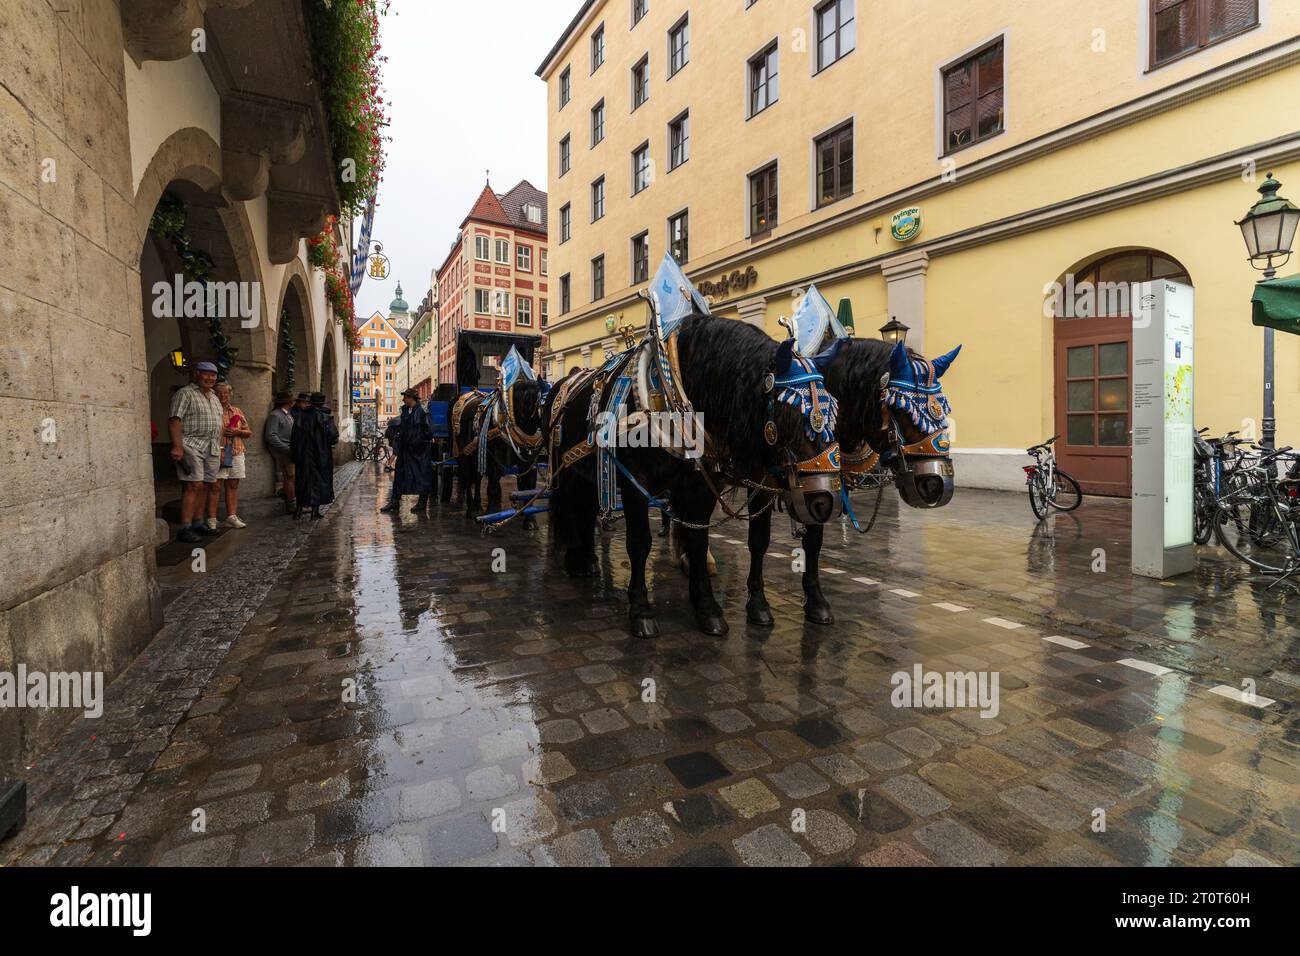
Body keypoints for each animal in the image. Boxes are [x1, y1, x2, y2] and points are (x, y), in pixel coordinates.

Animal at [452, 377, 543, 520]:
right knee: (466, 477)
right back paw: (471, 510)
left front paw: (528, 516)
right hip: (463, 453)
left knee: (477, 478)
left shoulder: (527, 460)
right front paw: (491, 513)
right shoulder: (496, 457)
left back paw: (478, 506)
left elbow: (528, 487)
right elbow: (493, 485)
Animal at [548, 317, 842, 639]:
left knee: (587, 509)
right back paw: (574, 559)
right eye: (789, 414)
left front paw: (707, 608)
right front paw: (641, 610)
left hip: (589, 473)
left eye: (833, 413)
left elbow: (699, 542)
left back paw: (588, 560)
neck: (672, 394)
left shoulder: (698, 489)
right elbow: (639, 542)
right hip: (567, 469)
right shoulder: (635, 483)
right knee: (570, 507)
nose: (824, 503)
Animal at [748, 338, 961, 629]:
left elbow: (813, 543)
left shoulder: (823, 491)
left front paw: (816, 602)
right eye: (901, 409)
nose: (937, 485)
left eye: (944, 409)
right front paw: (757, 604)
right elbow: (758, 541)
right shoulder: (759, 485)